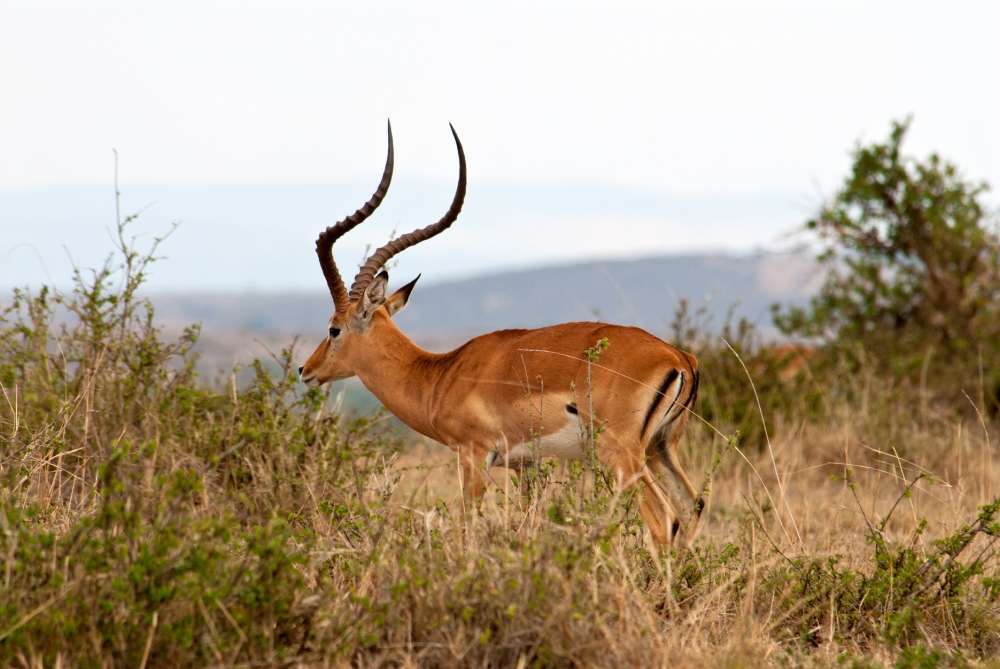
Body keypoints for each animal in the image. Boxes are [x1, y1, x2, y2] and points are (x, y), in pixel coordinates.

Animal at [300, 122, 708, 544]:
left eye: (333, 329)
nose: (305, 370)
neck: (440, 376)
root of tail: (679, 357)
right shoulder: (525, 466)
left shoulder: (475, 454)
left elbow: (467, 527)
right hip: (661, 449)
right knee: (692, 507)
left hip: (622, 454)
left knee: (663, 518)